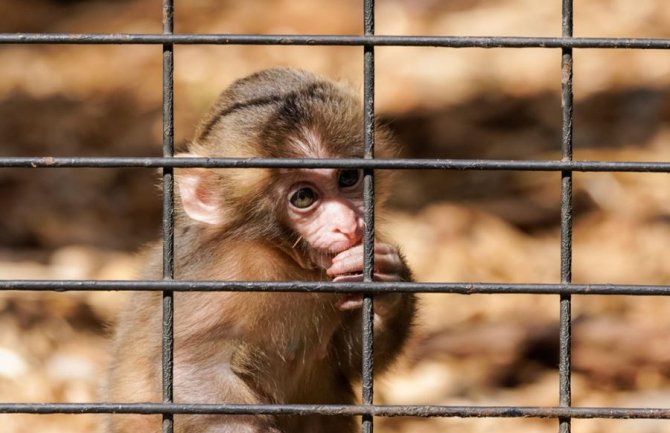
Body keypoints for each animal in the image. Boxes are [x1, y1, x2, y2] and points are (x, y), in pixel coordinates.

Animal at [106, 67, 414, 432]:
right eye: (303, 197)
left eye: (348, 178)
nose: (348, 224)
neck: (285, 258)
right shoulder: (234, 270)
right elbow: (184, 365)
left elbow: (348, 361)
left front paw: (388, 280)